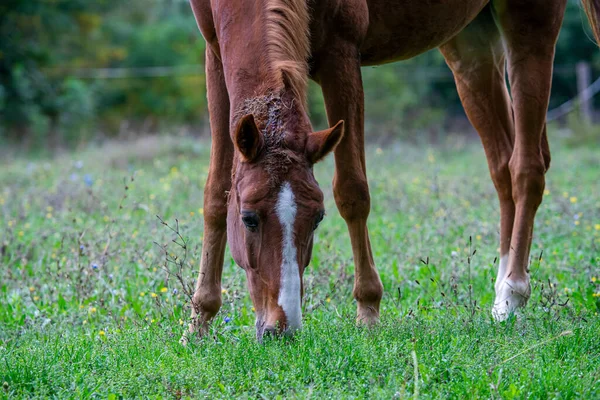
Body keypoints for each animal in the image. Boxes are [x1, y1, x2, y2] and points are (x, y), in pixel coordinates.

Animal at [185, 0, 600, 340]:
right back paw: (500, 294)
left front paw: (368, 310)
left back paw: (512, 292)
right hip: (470, 46)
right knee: (502, 169)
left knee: (526, 168)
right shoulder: (215, 54)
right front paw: (199, 319)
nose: (283, 328)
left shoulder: (342, 54)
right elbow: (215, 192)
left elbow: (352, 191)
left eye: (317, 218)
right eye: (248, 218)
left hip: (529, 26)